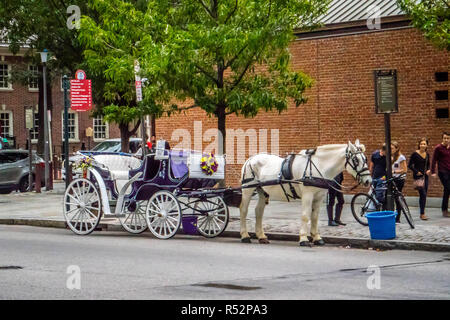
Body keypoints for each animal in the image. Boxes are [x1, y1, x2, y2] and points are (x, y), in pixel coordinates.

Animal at [237, 139, 370, 246]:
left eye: (365, 159)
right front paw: (304, 239)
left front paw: (317, 238)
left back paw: (261, 236)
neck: (318, 166)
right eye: (356, 160)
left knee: (259, 211)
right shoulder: (307, 195)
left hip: (262, 190)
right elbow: (305, 216)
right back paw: (245, 236)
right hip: (248, 189)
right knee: (243, 209)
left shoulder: (319, 196)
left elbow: (315, 217)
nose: (368, 180)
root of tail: (250, 159)